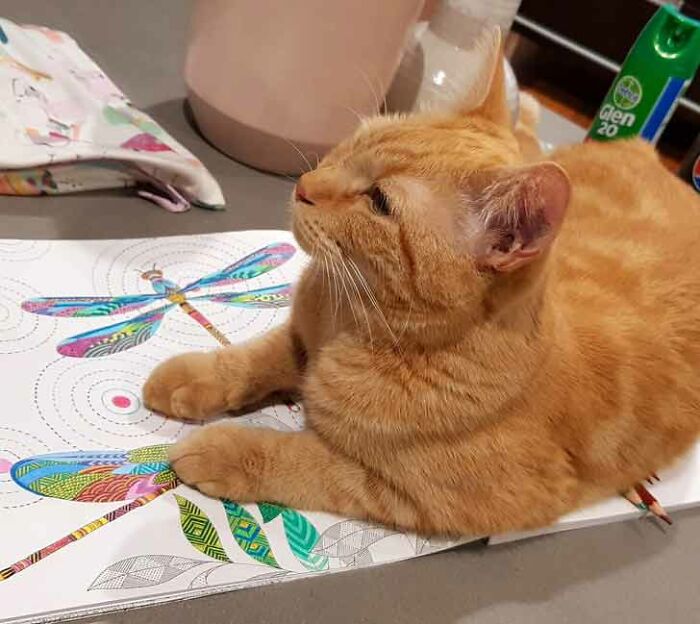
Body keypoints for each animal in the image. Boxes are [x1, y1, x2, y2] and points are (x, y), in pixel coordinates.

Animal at [145, 30, 700, 536]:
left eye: (379, 202)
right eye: (352, 143)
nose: (304, 186)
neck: (352, 320)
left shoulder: (414, 496)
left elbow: (303, 462)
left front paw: (224, 448)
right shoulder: (301, 338)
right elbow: (252, 359)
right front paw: (191, 377)